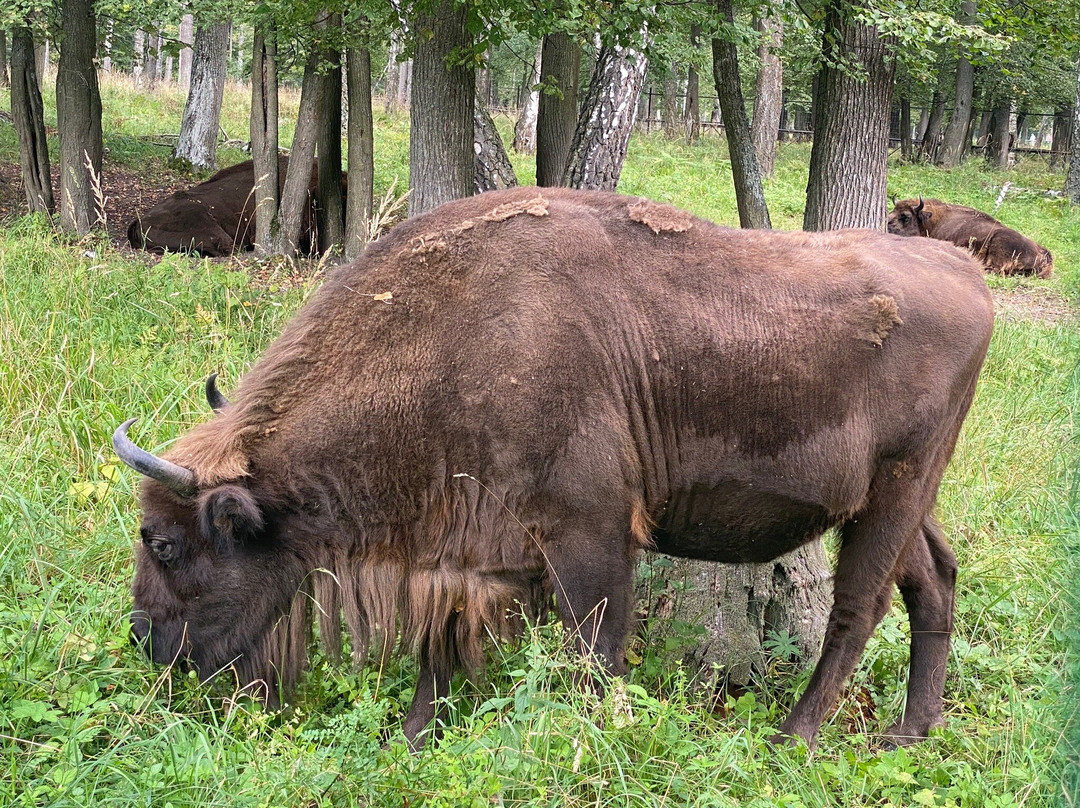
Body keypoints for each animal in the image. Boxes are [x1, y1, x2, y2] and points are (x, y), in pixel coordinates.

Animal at [113, 185, 989, 747]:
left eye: (165, 544)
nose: (144, 640)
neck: (452, 343)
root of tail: (969, 276)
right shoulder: (464, 549)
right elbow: (439, 650)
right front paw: (410, 739)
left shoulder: (589, 533)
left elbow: (593, 651)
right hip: (900, 499)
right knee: (934, 580)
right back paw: (911, 731)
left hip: (894, 493)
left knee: (859, 607)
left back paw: (796, 736)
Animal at [885, 195, 1054, 278]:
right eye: (892, 211)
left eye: (905, 216)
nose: (887, 225)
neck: (932, 221)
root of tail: (1045, 252)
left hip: (999, 243)